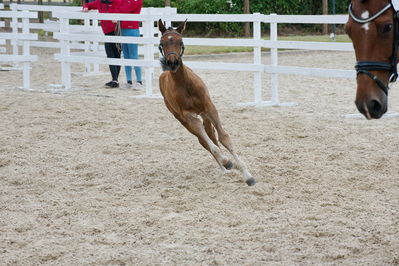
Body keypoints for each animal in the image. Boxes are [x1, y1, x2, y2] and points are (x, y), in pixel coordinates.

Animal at [157, 19, 256, 186]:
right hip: (182, 120)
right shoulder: (189, 116)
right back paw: (224, 165)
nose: (173, 63)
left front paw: (248, 175)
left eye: (180, 41)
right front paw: (226, 161)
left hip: (204, 115)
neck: (185, 85)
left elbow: (224, 138)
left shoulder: (210, 108)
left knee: (211, 135)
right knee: (203, 140)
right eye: (162, 43)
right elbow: (209, 142)